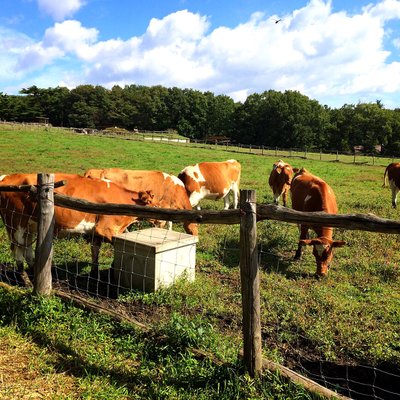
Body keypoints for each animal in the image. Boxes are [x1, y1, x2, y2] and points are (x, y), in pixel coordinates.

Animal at [0, 173, 155, 276]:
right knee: (17, 248)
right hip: (16, 223)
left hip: (29, 226)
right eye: (152, 202)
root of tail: (7, 177)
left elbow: (95, 252)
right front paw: (112, 268)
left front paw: (95, 272)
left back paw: (32, 270)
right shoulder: (105, 229)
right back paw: (22, 275)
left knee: (26, 247)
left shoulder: (95, 232)